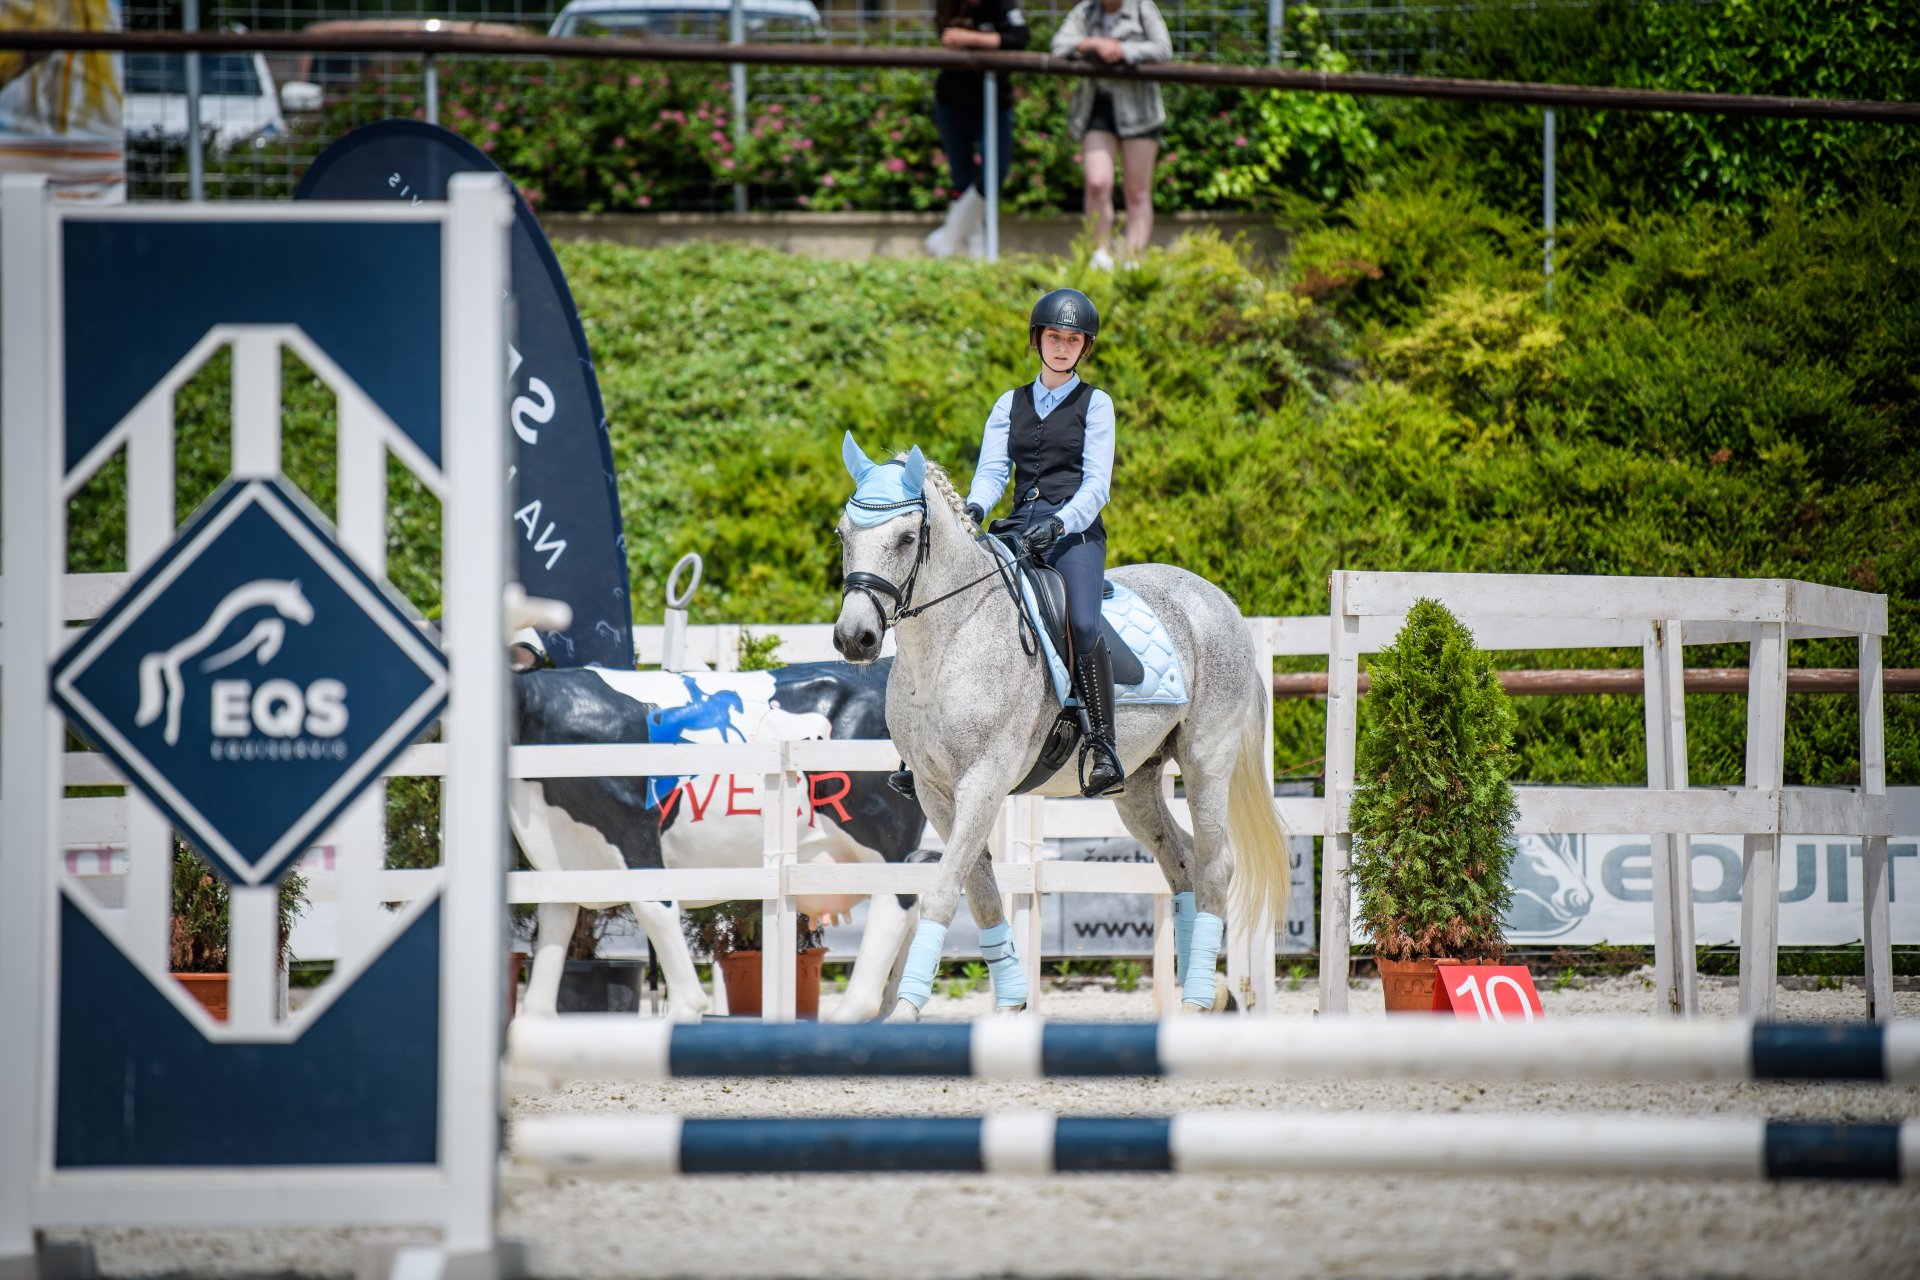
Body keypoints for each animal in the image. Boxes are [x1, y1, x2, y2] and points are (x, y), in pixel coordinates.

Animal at [829, 441, 1290, 1020]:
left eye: (907, 538)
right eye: (843, 534)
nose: (855, 638)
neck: (950, 641)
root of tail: (1220, 602)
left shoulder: (982, 782)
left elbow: (943, 890)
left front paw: (908, 1010)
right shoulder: (936, 792)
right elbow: (981, 894)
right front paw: (1010, 1005)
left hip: (1207, 759)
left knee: (1214, 865)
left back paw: (1197, 1001)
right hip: (1137, 784)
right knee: (1180, 858)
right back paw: (1210, 993)